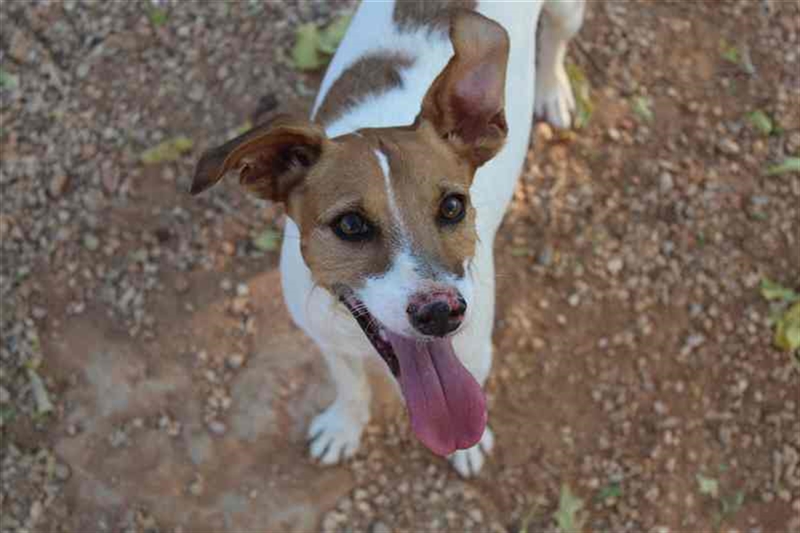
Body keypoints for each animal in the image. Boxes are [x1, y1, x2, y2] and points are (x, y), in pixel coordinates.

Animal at [191, 0, 584, 477]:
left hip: (567, 13)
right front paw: (343, 427)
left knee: (557, 38)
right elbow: (350, 386)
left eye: (452, 206)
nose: (440, 313)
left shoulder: (475, 349)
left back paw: (552, 91)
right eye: (350, 225)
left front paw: (468, 449)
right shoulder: (326, 340)